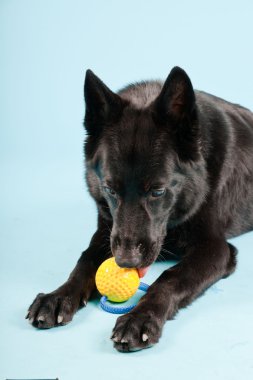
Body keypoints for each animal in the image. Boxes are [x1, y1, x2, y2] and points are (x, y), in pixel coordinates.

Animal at [26, 67, 253, 352]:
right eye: (110, 189)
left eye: (157, 191)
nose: (126, 261)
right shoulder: (107, 231)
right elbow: (84, 261)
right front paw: (58, 296)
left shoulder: (215, 248)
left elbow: (171, 275)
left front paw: (141, 317)